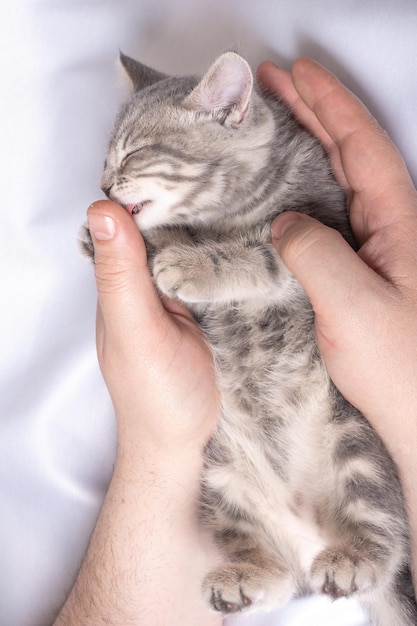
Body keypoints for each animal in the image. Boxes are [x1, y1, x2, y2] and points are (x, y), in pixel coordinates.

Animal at [80, 51, 416, 620]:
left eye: (135, 154)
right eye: (107, 159)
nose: (103, 188)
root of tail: (308, 530)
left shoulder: (326, 230)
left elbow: (262, 252)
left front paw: (193, 262)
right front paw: (142, 244)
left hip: (356, 438)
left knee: (382, 535)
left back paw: (354, 557)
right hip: (222, 479)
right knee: (280, 578)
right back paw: (245, 576)